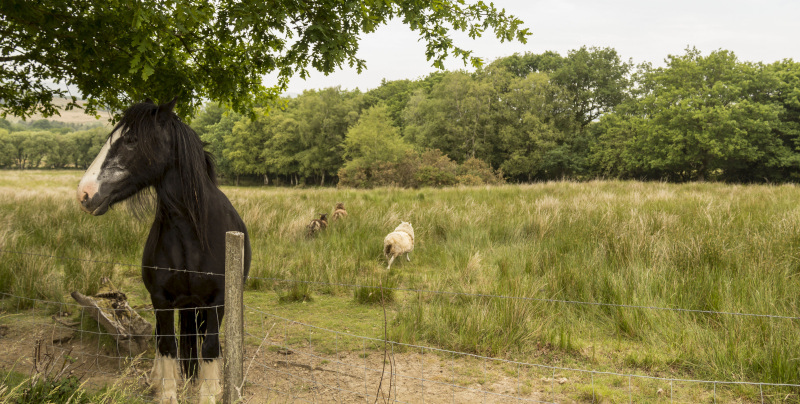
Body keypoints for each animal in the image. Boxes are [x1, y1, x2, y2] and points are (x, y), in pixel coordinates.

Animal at [76, 98, 250, 404]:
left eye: (131, 140)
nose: (84, 193)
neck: (192, 232)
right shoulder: (161, 299)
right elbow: (168, 344)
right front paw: (168, 392)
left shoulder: (216, 301)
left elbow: (210, 347)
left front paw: (208, 393)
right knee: (162, 339)